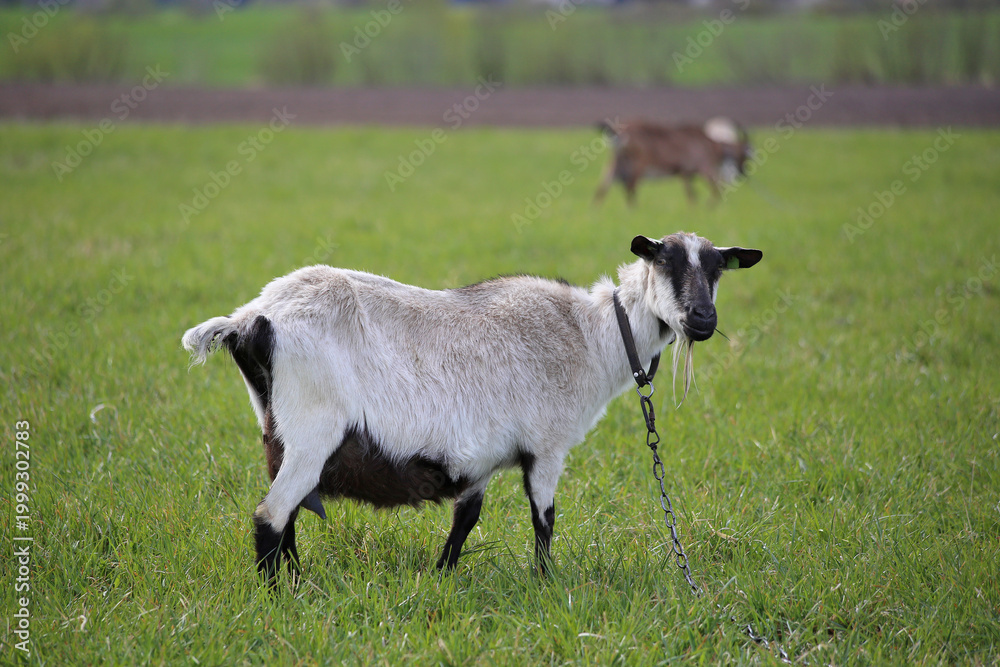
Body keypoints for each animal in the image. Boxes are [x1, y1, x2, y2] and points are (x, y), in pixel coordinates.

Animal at [181, 232, 762, 582]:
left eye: (719, 268)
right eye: (664, 260)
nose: (702, 320)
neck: (590, 335)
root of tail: (251, 318)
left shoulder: (480, 458)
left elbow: (466, 519)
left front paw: (441, 576)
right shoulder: (547, 446)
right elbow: (544, 518)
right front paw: (546, 583)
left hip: (277, 431)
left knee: (288, 516)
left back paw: (298, 582)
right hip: (312, 431)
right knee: (270, 515)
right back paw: (281, 596)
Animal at [594, 118, 751, 207]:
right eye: (743, 156)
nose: (743, 173)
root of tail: (620, 133)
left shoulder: (686, 174)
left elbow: (692, 195)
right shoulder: (703, 168)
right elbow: (715, 190)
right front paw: (709, 207)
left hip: (616, 163)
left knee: (602, 188)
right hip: (638, 166)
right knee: (630, 188)